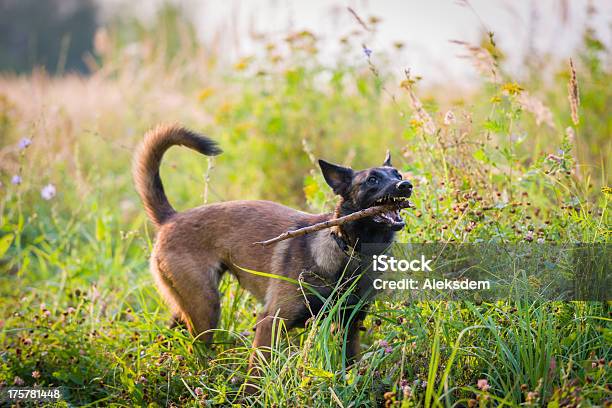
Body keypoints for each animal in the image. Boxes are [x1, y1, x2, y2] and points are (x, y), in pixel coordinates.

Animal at [133, 124, 412, 366]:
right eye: (372, 180)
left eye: (397, 174)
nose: (406, 185)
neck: (347, 251)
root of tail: (171, 218)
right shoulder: (270, 323)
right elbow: (256, 377)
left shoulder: (349, 326)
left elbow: (349, 364)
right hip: (206, 307)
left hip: (189, 305)